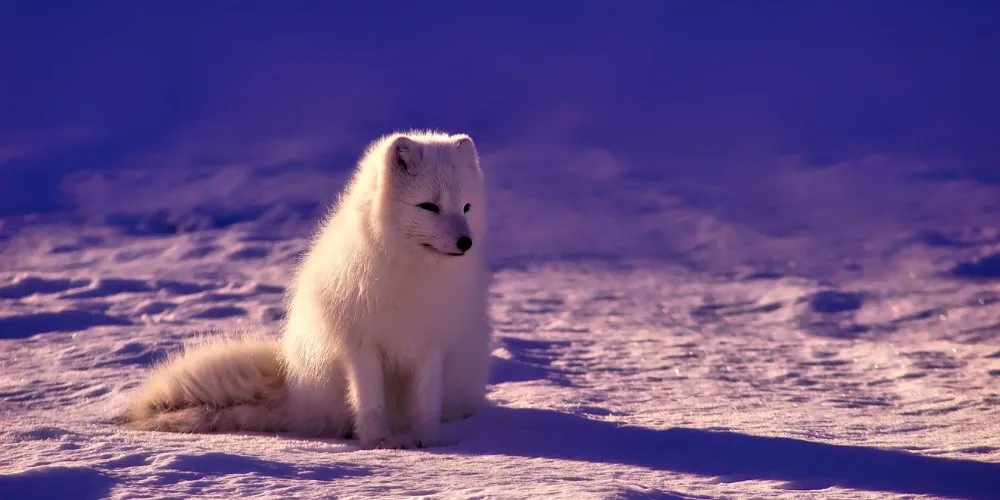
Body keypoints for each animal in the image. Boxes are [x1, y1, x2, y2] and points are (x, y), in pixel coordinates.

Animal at [123, 130, 493, 449]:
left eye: (466, 207)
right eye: (429, 206)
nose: (466, 242)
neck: (413, 274)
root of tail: (293, 389)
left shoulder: (431, 345)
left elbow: (426, 405)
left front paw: (428, 442)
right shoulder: (360, 345)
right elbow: (370, 402)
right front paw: (380, 442)